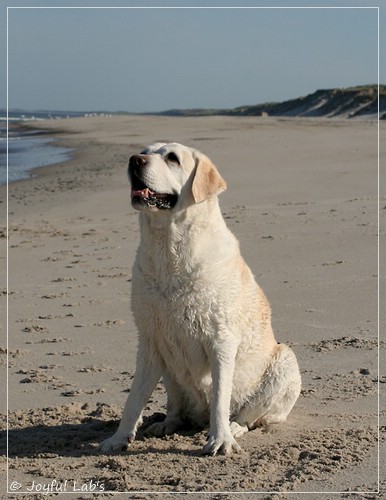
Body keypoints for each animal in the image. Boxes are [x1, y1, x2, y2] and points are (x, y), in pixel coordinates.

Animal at [100, 143, 302, 456]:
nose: (135, 160)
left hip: (285, 361)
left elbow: (220, 397)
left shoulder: (221, 340)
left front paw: (220, 441)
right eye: (145, 151)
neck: (168, 248)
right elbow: (133, 400)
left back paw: (233, 428)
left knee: (248, 415)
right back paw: (166, 424)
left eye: (172, 158)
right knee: (175, 407)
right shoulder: (149, 341)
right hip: (170, 371)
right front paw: (118, 438)